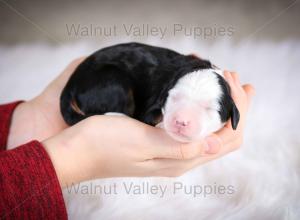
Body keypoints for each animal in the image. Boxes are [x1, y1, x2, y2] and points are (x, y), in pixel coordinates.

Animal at [60, 42, 239, 143]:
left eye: (209, 109)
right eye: (174, 98)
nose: (181, 121)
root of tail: (71, 82)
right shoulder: (152, 106)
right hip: (114, 83)